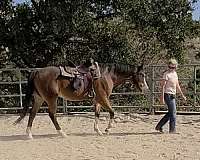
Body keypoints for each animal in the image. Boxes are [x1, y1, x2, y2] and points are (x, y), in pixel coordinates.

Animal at [14, 60, 148, 139]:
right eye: (141, 75)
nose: (146, 88)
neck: (106, 76)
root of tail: (37, 71)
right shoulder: (103, 98)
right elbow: (112, 112)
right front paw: (107, 130)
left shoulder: (97, 100)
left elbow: (97, 114)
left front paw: (98, 130)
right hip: (51, 98)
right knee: (51, 114)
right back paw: (62, 133)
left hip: (39, 98)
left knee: (32, 113)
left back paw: (29, 134)